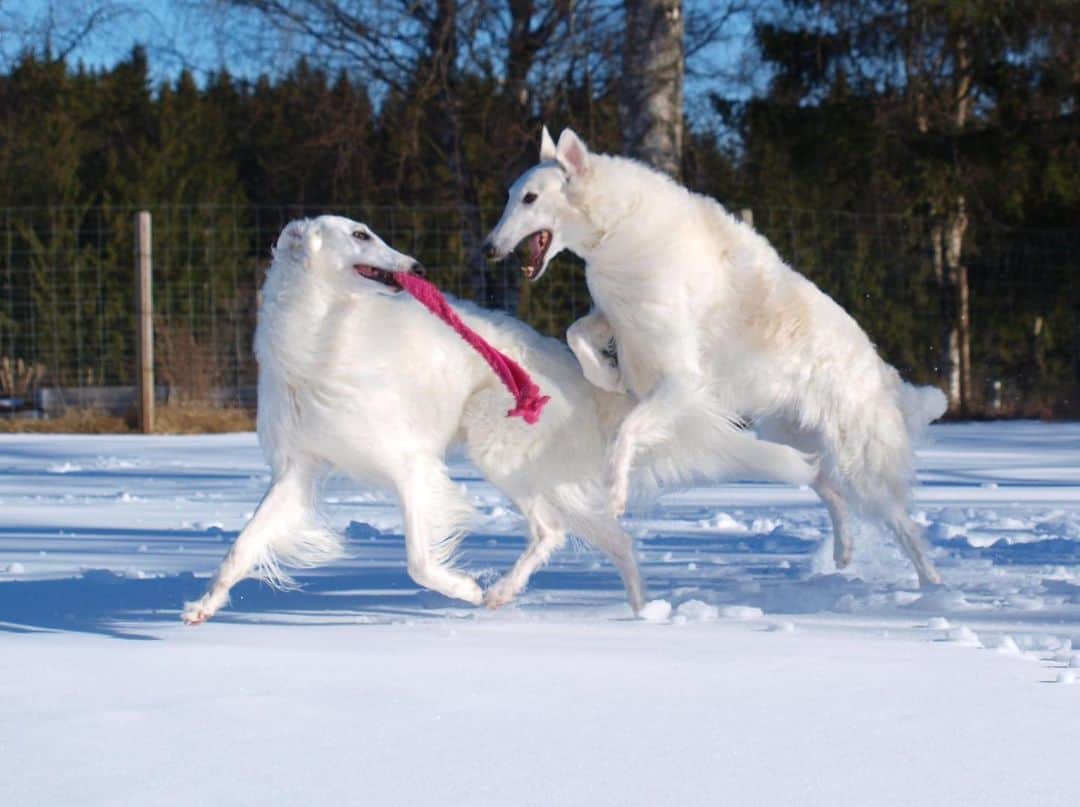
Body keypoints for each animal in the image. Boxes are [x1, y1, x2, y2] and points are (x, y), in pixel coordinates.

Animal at [181, 214, 643, 626]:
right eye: (360, 234)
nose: (417, 267)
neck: (320, 339)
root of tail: (573, 371)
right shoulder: (297, 468)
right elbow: (241, 547)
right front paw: (203, 605)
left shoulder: (410, 465)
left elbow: (418, 561)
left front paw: (464, 588)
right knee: (598, 535)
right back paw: (637, 609)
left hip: (499, 449)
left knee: (552, 528)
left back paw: (498, 592)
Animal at [481, 126, 946, 587]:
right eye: (511, 195)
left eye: (530, 198)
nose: (487, 249)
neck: (619, 226)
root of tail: (881, 370)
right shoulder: (619, 317)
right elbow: (576, 334)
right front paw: (608, 376)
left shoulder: (680, 378)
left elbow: (627, 432)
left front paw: (615, 493)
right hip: (789, 436)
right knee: (827, 485)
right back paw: (844, 553)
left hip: (859, 462)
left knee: (905, 527)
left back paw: (932, 588)